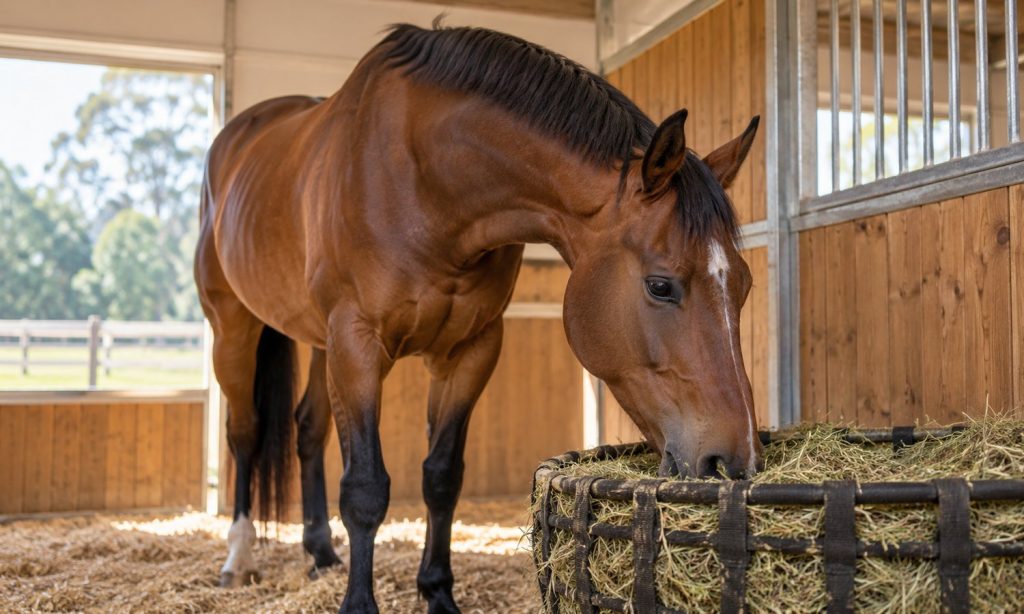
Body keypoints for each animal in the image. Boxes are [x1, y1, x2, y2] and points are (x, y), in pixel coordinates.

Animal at [195, 22, 762, 613]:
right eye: (660, 285)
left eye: (743, 285)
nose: (734, 463)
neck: (425, 181)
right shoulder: (358, 343)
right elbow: (366, 488)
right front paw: (360, 603)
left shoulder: (469, 349)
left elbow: (442, 477)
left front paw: (438, 592)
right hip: (234, 329)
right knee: (245, 433)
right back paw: (238, 558)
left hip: (321, 344)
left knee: (307, 430)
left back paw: (321, 554)